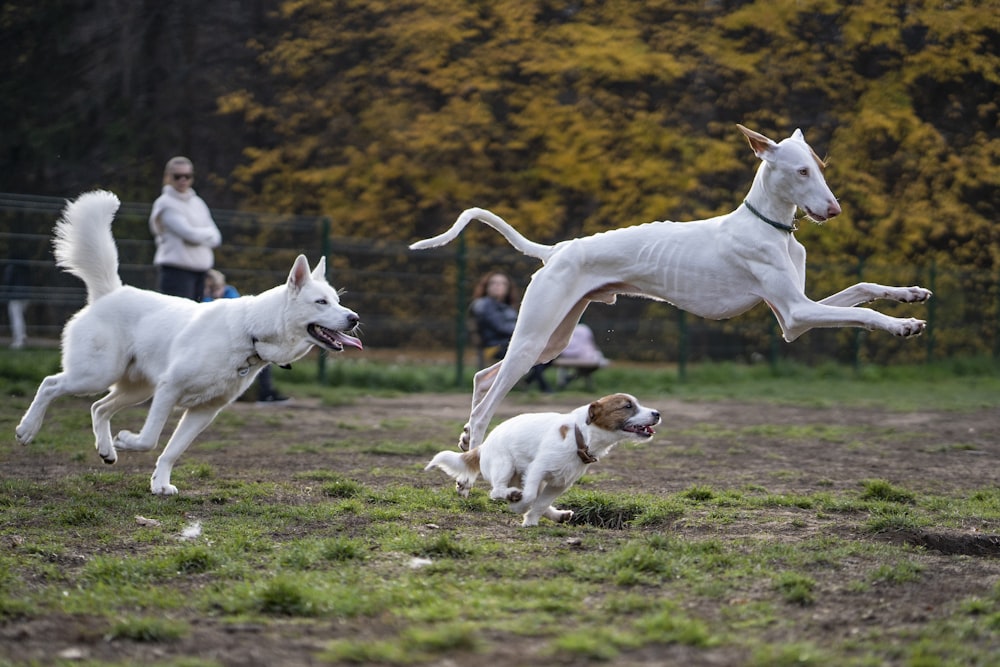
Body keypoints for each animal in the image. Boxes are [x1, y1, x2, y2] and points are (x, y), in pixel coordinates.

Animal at [426, 392, 660, 528]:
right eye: (627, 406)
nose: (657, 413)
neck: (580, 436)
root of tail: (482, 447)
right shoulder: (537, 470)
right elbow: (530, 498)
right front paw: (519, 508)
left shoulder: (560, 483)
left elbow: (540, 503)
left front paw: (530, 520)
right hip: (505, 466)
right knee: (497, 491)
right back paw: (511, 496)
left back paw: (558, 515)